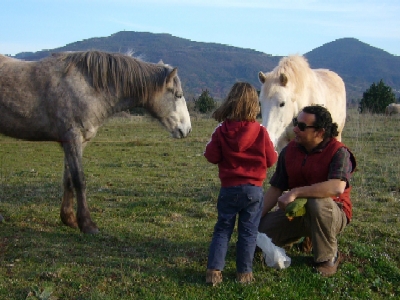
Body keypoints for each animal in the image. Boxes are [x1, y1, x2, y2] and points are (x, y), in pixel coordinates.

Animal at [0, 50, 192, 233]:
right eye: (178, 95)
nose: (187, 129)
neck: (88, 88)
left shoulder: (77, 142)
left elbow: (68, 179)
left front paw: (69, 219)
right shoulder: (72, 138)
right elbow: (79, 180)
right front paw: (87, 224)